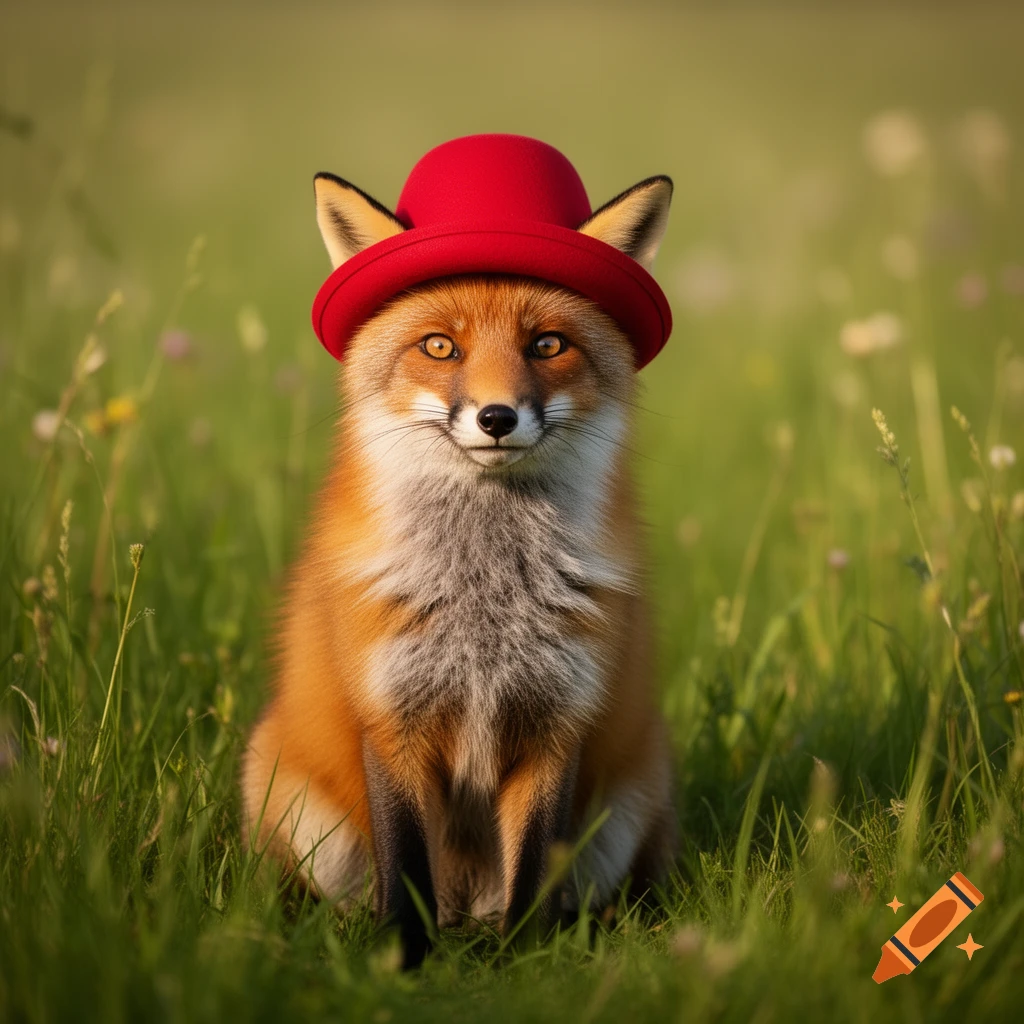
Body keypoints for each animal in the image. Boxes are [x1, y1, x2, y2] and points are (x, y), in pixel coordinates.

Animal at [242, 154, 677, 968]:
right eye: (440, 346)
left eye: (547, 345)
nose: (497, 417)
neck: (486, 598)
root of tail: (466, 907)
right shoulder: (393, 720)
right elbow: (406, 860)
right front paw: (401, 962)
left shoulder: (557, 724)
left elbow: (534, 867)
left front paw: (527, 961)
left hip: (637, 796)